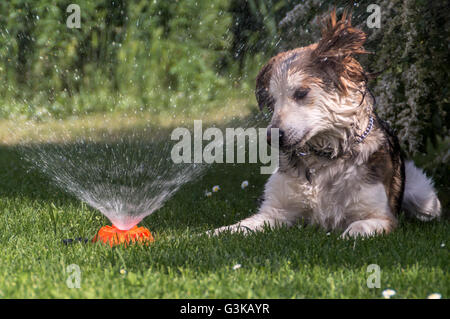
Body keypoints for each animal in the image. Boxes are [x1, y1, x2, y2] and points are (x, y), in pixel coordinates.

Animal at [213, 9, 442, 238]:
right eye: (272, 102)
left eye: (301, 93)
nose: (271, 137)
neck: (324, 157)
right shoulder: (274, 213)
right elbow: (237, 227)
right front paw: (209, 234)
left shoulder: (381, 217)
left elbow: (358, 226)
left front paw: (348, 236)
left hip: (424, 197)